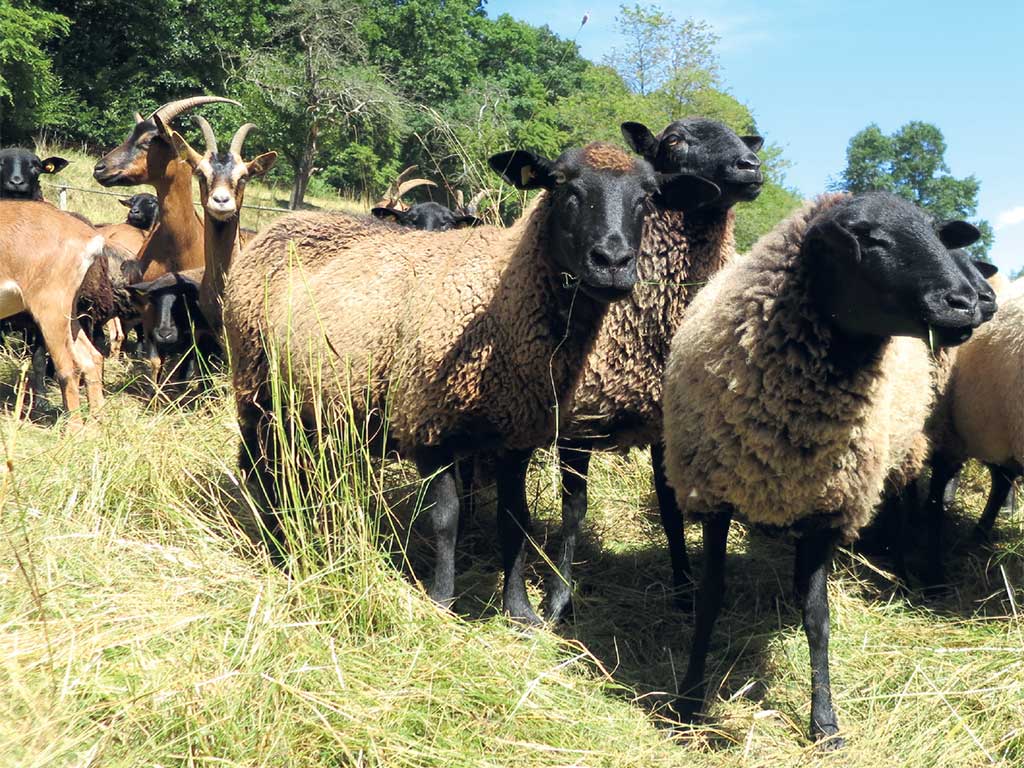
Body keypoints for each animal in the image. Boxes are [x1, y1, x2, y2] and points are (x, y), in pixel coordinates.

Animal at [223, 142, 719, 624]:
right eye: (561, 185)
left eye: (648, 198)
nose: (613, 262)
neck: (499, 299)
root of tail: (283, 222)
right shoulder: (427, 424)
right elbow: (445, 520)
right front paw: (441, 601)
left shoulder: (517, 436)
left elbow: (515, 520)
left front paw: (520, 611)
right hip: (252, 379)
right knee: (257, 464)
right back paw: (272, 540)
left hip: (304, 400)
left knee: (291, 464)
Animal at [540, 118, 765, 620]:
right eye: (675, 141)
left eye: (741, 137)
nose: (751, 165)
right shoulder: (576, 422)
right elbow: (573, 508)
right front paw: (559, 598)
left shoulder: (667, 426)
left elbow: (669, 507)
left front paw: (683, 588)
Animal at [660, 191, 988, 748]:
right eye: (866, 236)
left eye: (936, 233)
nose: (965, 303)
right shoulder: (716, 496)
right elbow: (710, 599)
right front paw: (687, 702)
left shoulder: (828, 508)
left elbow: (818, 617)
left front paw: (825, 722)